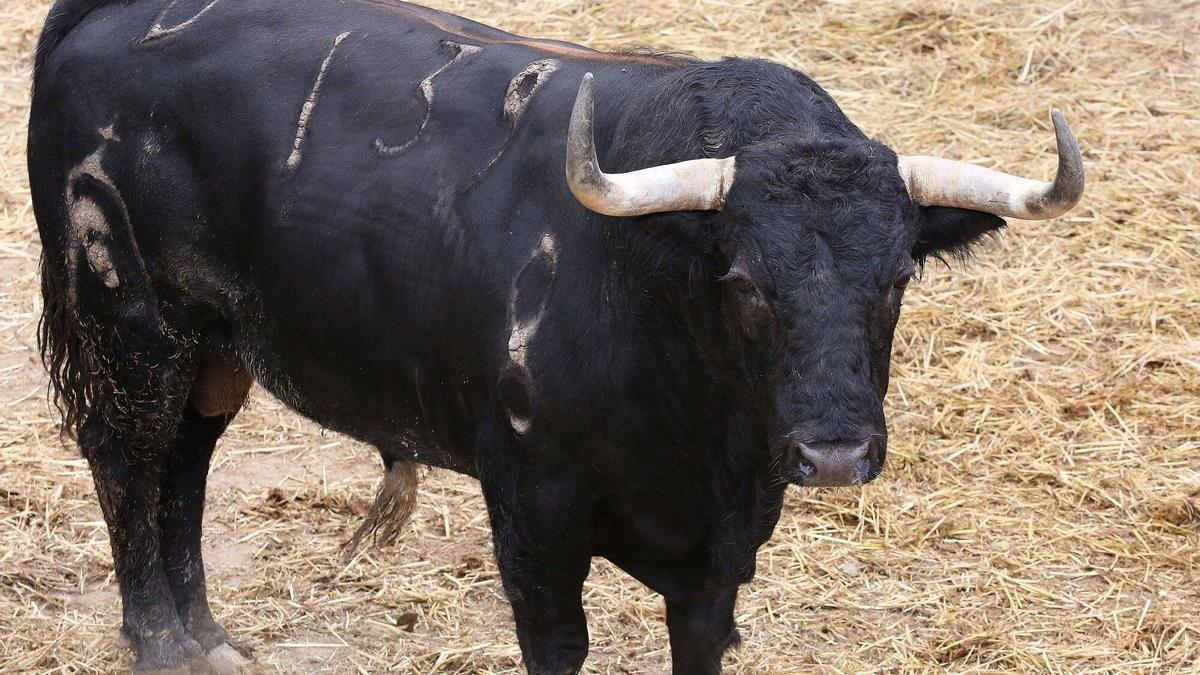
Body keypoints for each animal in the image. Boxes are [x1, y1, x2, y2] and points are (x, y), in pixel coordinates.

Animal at [28, 1, 1080, 672]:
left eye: (897, 278)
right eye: (744, 282)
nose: (833, 454)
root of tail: (115, 10)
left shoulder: (723, 551)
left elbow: (700, 640)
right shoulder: (531, 511)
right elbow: (559, 645)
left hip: (214, 345)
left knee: (184, 462)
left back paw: (207, 636)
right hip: (129, 323)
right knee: (125, 460)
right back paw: (159, 643)